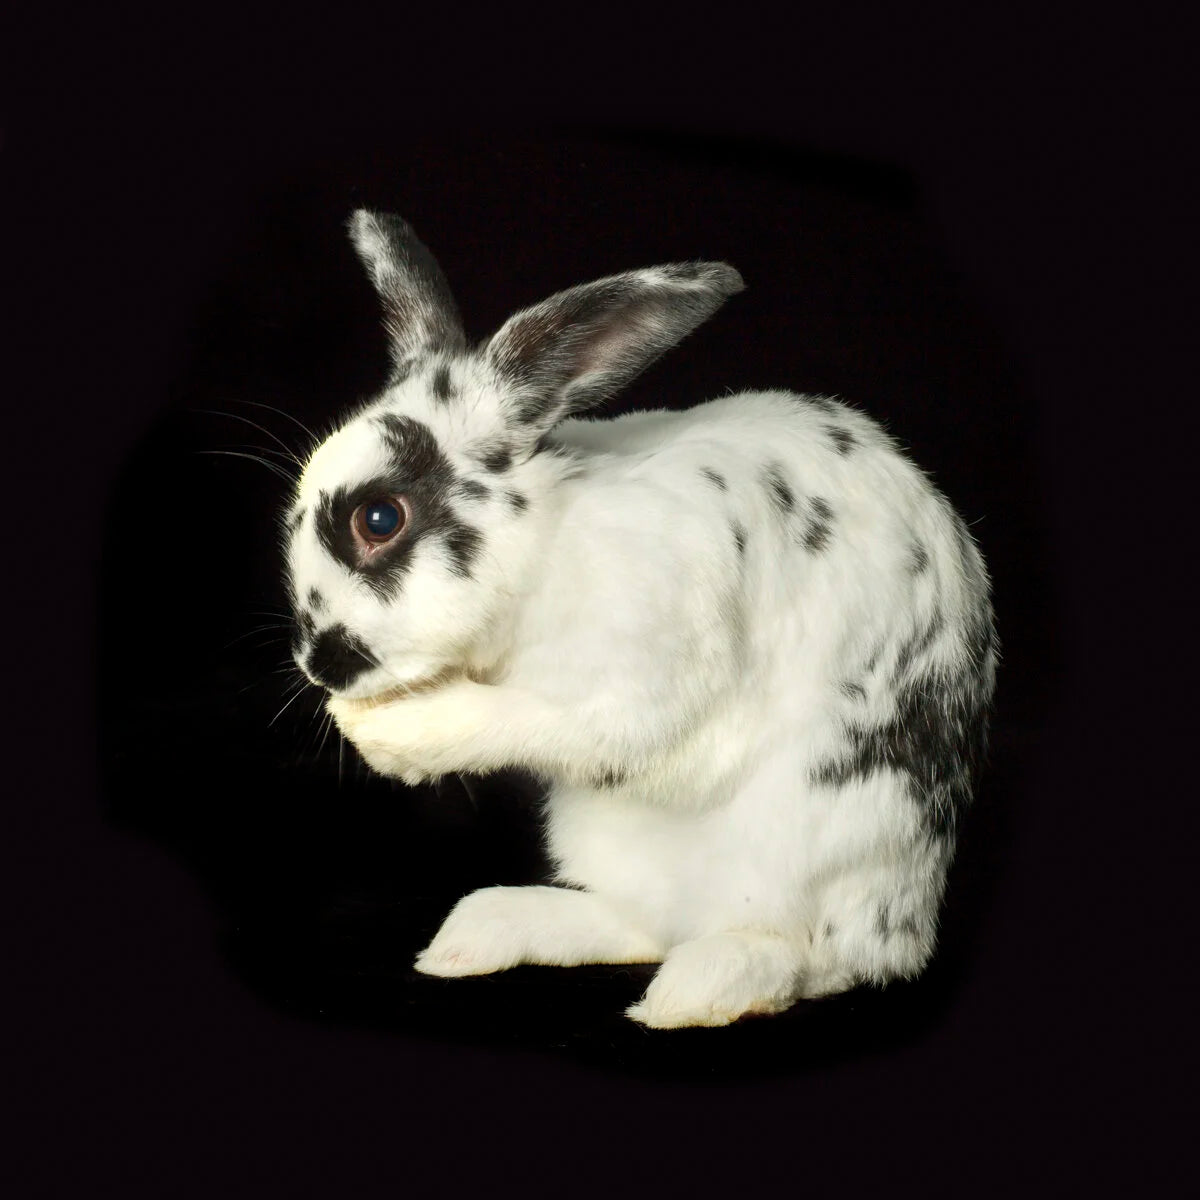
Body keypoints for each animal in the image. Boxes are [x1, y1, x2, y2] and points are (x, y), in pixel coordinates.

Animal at [282, 209, 997, 1029]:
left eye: (379, 517)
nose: (318, 663)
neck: (549, 540)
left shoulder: (639, 683)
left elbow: (543, 719)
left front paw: (394, 736)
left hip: (823, 847)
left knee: (816, 958)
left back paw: (693, 992)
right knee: (642, 924)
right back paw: (478, 937)